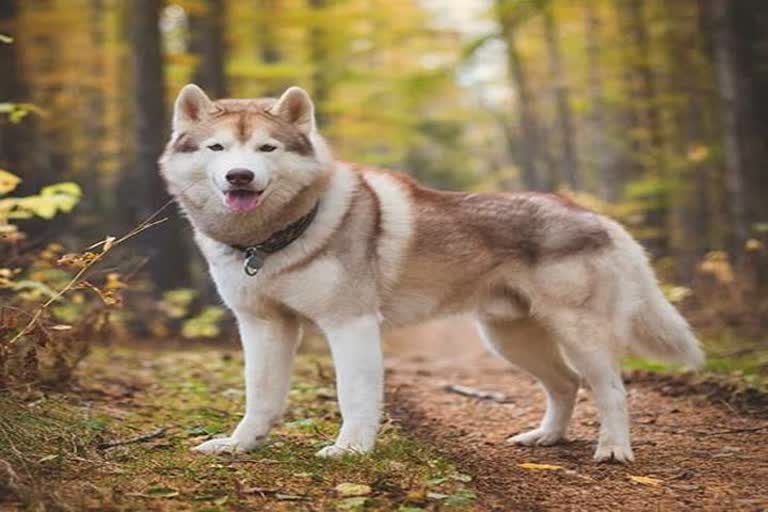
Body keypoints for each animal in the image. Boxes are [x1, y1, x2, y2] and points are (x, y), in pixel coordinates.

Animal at [158, 85, 704, 464]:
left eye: (267, 149)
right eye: (217, 149)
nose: (240, 177)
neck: (271, 240)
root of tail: (599, 217)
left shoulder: (351, 325)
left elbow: (354, 395)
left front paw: (351, 451)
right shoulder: (264, 327)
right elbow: (261, 396)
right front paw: (240, 444)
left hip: (579, 333)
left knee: (611, 389)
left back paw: (613, 449)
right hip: (509, 339)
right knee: (566, 385)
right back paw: (546, 437)